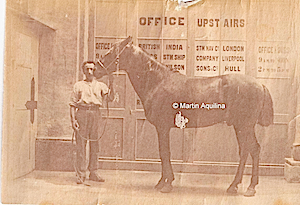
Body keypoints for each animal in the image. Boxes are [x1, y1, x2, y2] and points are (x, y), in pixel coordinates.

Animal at [95, 36, 274, 197]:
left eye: (111, 52)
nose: (95, 69)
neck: (157, 82)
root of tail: (260, 84)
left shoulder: (163, 127)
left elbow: (164, 153)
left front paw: (167, 184)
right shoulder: (163, 128)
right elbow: (163, 153)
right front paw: (162, 181)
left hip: (245, 125)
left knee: (253, 149)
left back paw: (250, 188)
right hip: (240, 126)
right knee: (245, 150)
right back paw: (234, 186)